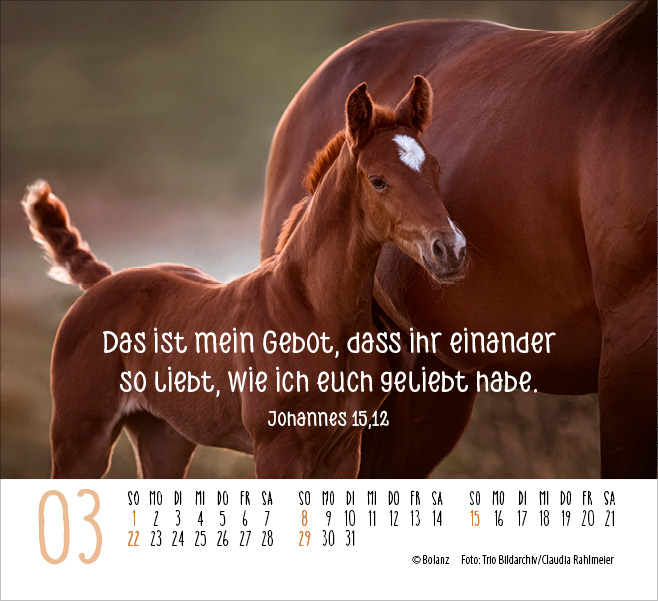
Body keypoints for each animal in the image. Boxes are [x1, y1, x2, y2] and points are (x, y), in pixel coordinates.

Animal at [24, 77, 468, 478]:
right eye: (378, 180)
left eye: (436, 168)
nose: (451, 249)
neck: (316, 313)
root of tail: (101, 282)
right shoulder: (277, 451)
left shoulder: (343, 451)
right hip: (80, 438)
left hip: (163, 436)